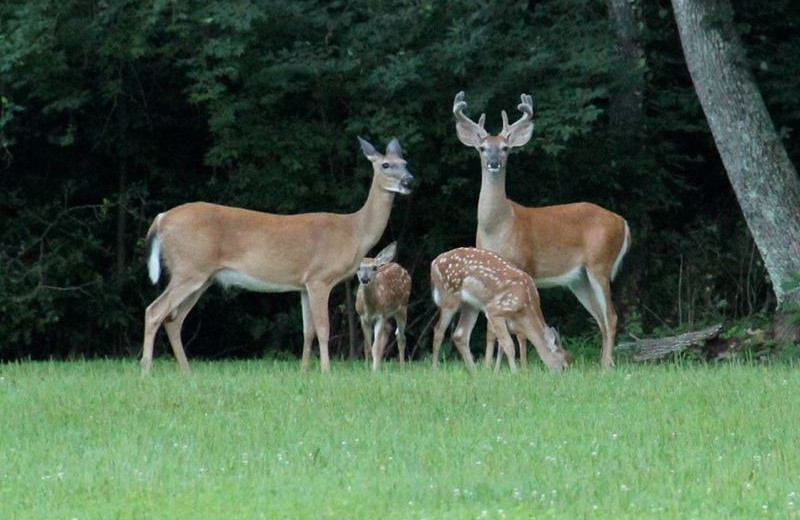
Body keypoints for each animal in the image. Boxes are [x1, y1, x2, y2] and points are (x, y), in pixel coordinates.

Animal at [141, 138, 412, 374]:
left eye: (405, 162)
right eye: (386, 165)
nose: (409, 180)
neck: (354, 232)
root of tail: (161, 219)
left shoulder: (303, 284)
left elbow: (307, 331)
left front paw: (304, 372)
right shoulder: (320, 277)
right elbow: (323, 328)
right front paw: (326, 372)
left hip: (202, 277)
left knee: (174, 319)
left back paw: (186, 373)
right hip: (190, 269)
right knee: (154, 311)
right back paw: (146, 371)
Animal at [432, 246, 568, 372]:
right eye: (564, 366)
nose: (561, 375)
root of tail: (434, 263)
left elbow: (502, 345)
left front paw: (497, 372)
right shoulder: (495, 310)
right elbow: (509, 345)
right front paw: (515, 373)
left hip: (470, 305)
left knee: (460, 335)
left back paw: (474, 372)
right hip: (449, 297)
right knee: (438, 330)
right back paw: (436, 368)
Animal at [454, 93, 628, 370]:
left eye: (506, 148)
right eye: (482, 148)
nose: (493, 163)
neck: (499, 226)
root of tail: (621, 221)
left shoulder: (524, 264)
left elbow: (518, 329)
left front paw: (520, 366)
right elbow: (494, 329)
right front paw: (492, 367)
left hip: (600, 264)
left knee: (611, 316)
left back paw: (605, 366)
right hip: (579, 279)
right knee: (600, 317)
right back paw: (604, 362)